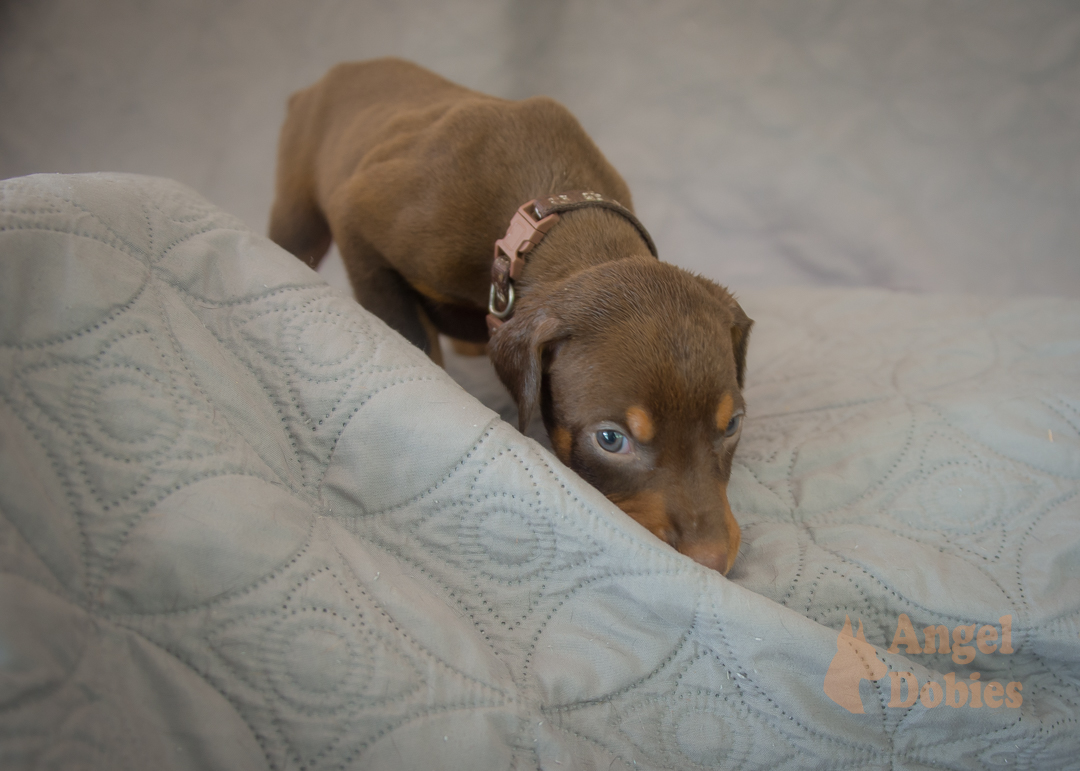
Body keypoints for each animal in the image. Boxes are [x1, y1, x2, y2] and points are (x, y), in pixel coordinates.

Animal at [270, 58, 751, 570]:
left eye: (733, 425)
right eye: (610, 440)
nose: (711, 562)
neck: (547, 221)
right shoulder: (361, 224)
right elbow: (412, 338)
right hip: (299, 213)